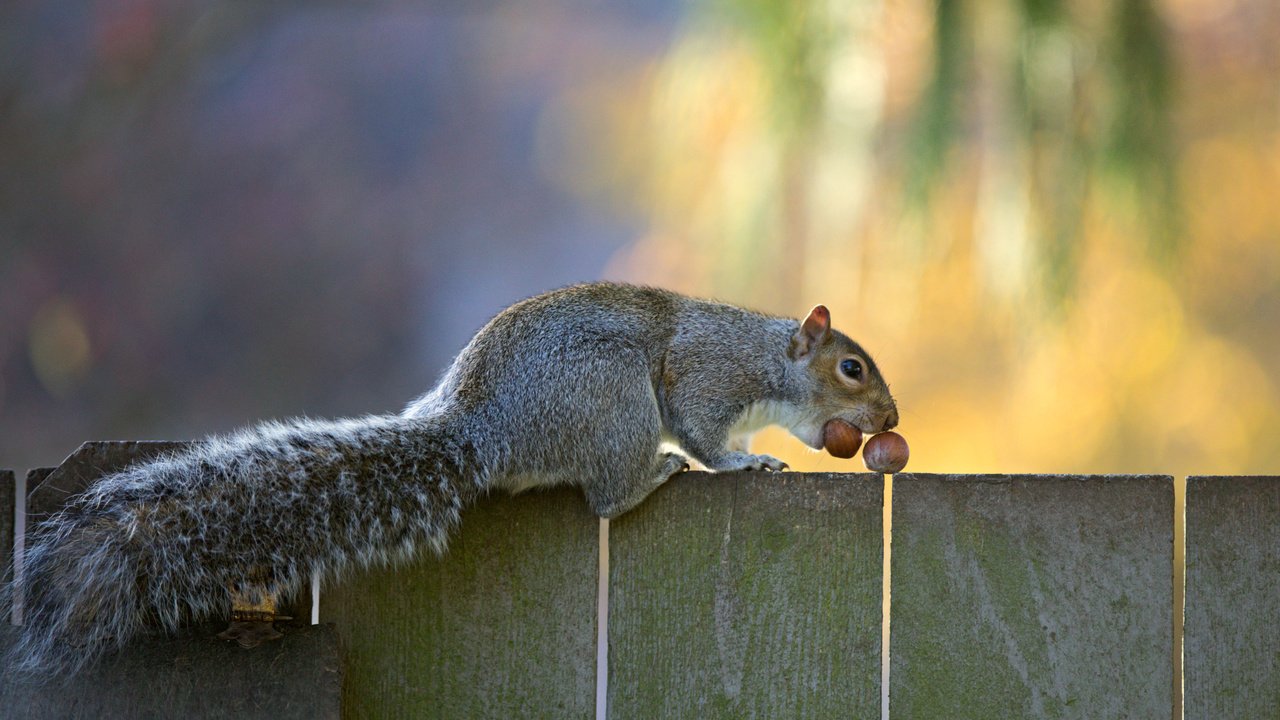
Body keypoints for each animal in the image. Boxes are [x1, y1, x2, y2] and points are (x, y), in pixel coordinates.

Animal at [7, 280, 901, 671]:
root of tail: (481, 430)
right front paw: (745, 458)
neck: (765, 358)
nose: (890, 419)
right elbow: (707, 431)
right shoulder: (705, 381)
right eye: (852, 367)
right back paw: (655, 476)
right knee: (607, 496)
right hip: (612, 399)